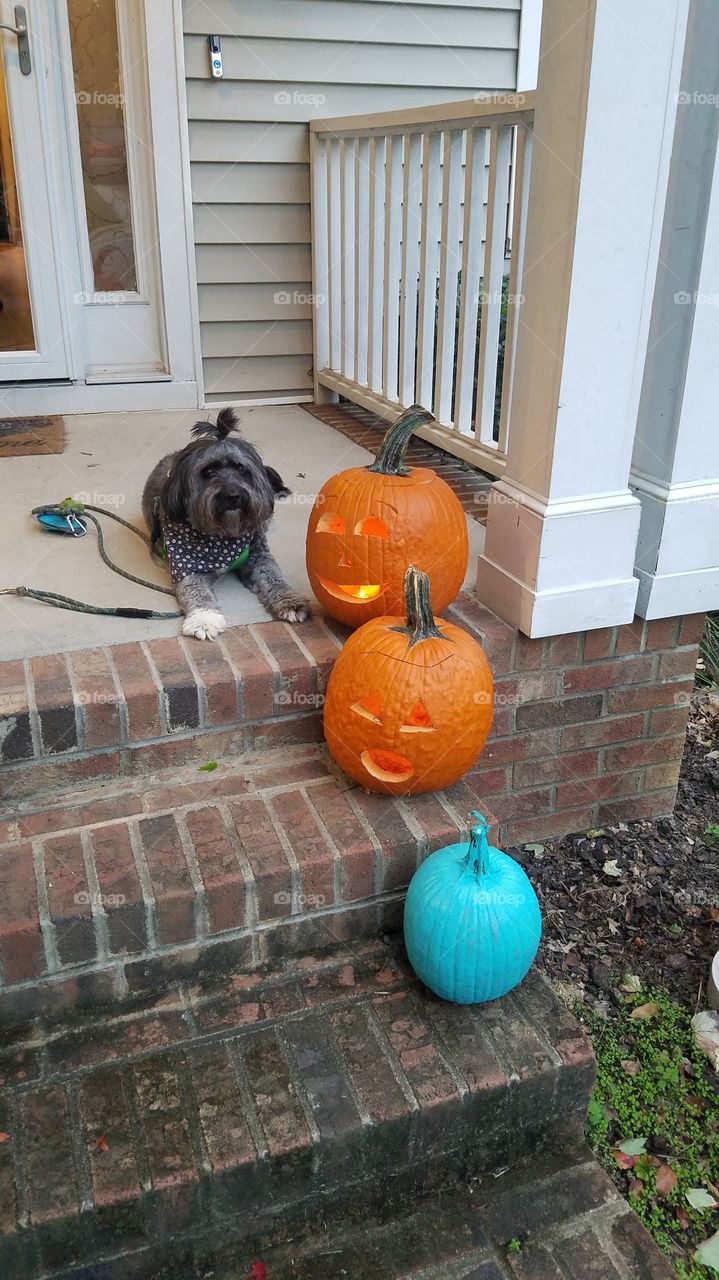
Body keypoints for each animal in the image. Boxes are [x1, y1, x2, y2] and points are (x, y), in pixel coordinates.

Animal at [141, 409, 309, 640]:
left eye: (241, 468)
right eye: (208, 472)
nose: (233, 496)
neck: (222, 536)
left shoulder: (258, 557)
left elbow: (273, 576)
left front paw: (290, 600)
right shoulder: (187, 567)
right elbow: (195, 590)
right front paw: (203, 618)